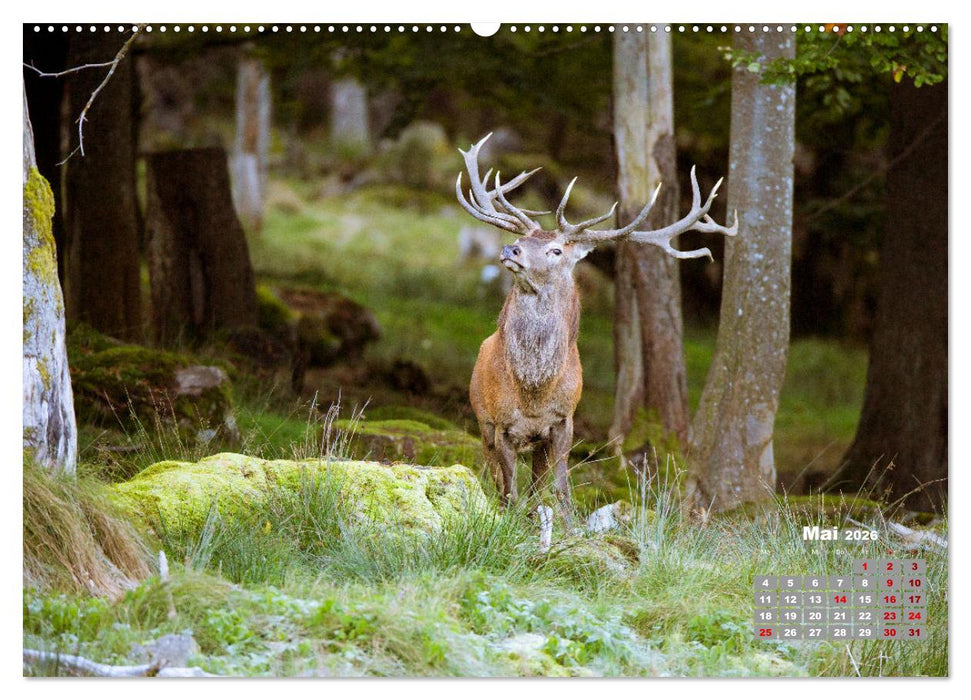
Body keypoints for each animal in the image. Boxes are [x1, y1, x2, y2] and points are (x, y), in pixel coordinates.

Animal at [458, 133, 738, 520]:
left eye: (556, 251)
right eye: (525, 240)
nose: (510, 249)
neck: (533, 391)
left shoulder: (564, 421)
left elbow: (560, 489)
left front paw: (567, 526)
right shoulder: (501, 423)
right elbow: (508, 490)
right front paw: (509, 521)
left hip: (536, 441)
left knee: (535, 482)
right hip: (481, 417)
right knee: (497, 477)